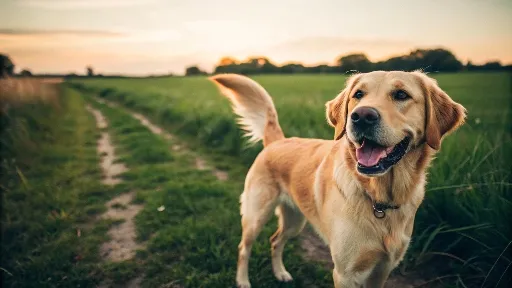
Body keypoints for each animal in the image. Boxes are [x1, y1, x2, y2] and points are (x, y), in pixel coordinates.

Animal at [210, 70, 466, 288]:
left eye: (401, 95)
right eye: (358, 95)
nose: (361, 116)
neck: (379, 198)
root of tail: (278, 141)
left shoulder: (382, 270)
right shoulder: (345, 273)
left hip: (295, 220)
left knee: (275, 240)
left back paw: (280, 273)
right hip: (256, 215)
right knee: (244, 248)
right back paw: (243, 280)